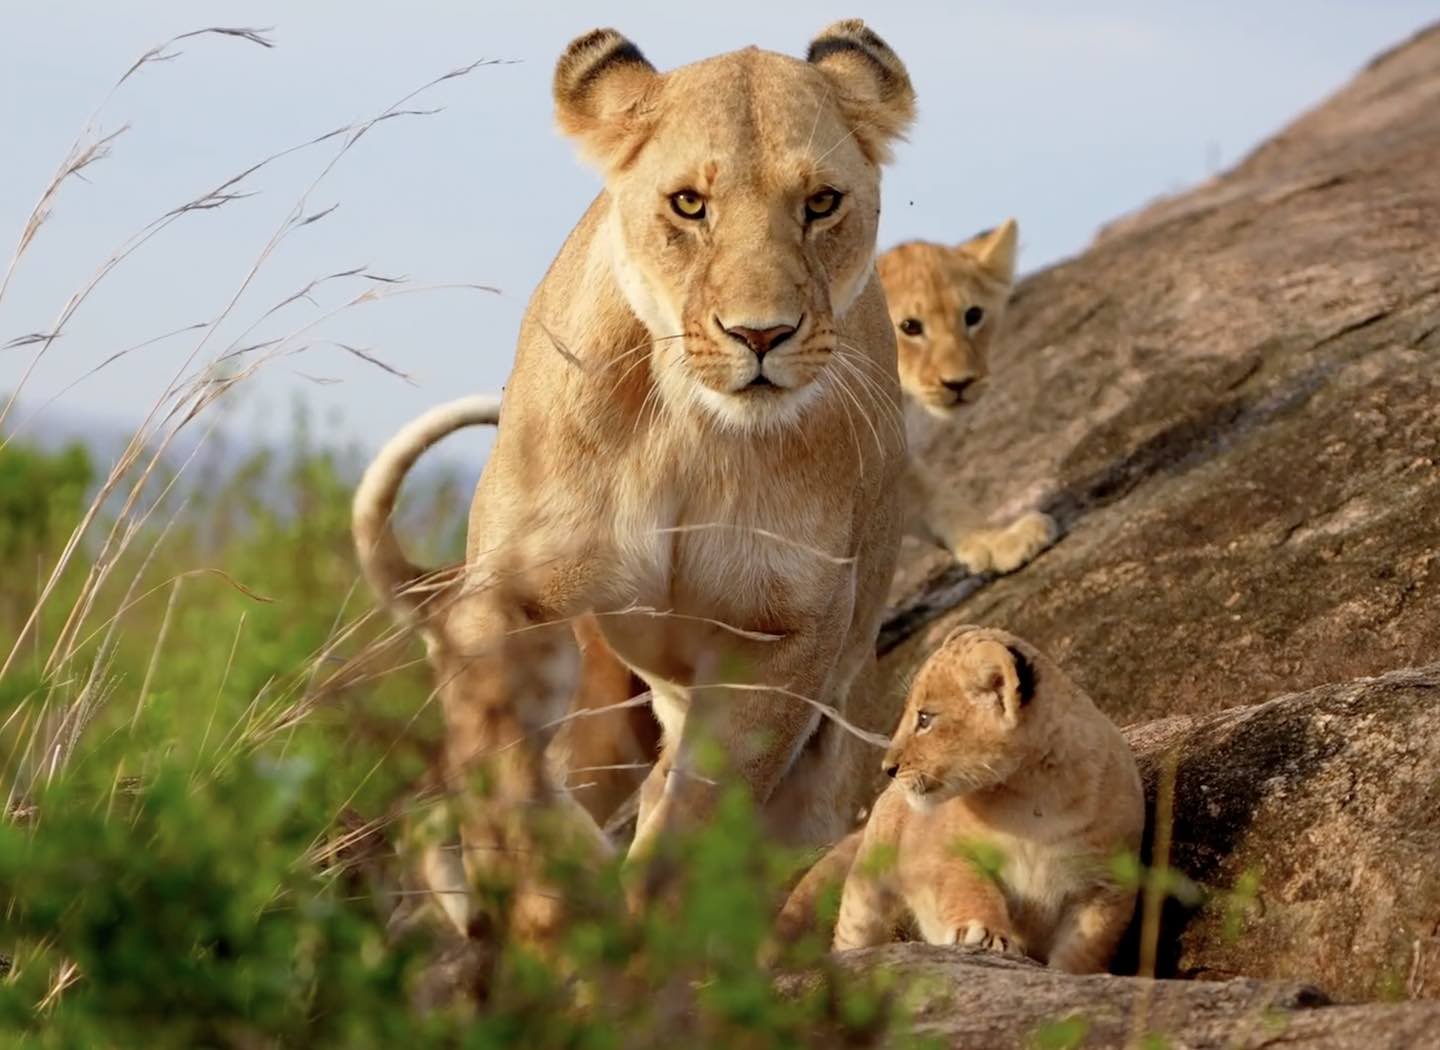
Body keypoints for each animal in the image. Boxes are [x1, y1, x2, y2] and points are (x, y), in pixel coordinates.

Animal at [355, 20, 917, 922]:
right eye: (689, 204)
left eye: (821, 203)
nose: (760, 335)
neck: (691, 428)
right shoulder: (511, 592)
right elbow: (510, 769)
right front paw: (553, 900)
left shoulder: (789, 631)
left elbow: (700, 808)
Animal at [773, 626, 1144, 974]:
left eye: (925, 719)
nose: (887, 768)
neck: (1034, 796)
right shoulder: (951, 853)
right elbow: (971, 890)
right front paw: (984, 934)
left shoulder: (1107, 888)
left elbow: (1086, 946)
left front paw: (1067, 973)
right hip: (866, 890)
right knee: (852, 933)